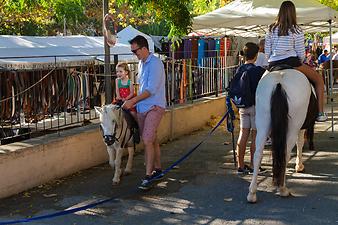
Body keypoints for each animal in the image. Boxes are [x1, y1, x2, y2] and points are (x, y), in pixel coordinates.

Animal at [247, 68, 318, 202]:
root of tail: (279, 83)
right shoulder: (301, 127)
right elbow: (300, 143)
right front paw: (299, 166)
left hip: (262, 123)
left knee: (258, 154)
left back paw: (252, 193)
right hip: (293, 127)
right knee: (285, 153)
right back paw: (283, 189)